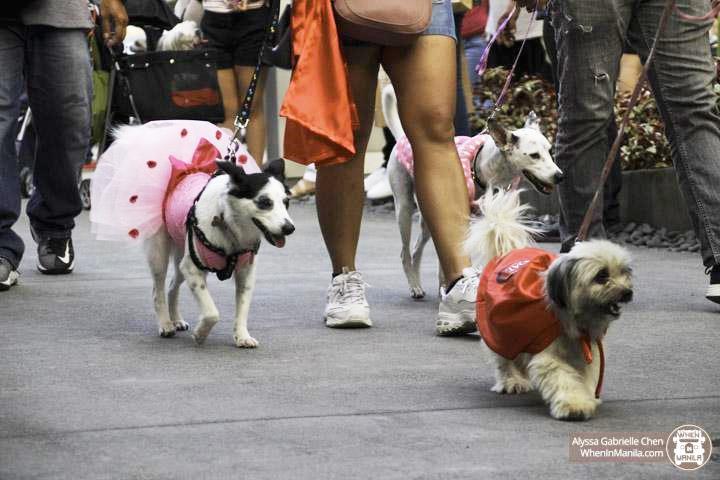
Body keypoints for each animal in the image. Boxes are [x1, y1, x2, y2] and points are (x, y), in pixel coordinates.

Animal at [382, 83, 564, 300]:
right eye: (534, 155)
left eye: (549, 150)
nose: (560, 176)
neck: (486, 170)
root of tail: (403, 137)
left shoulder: (499, 218)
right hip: (404, 208)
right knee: (405, 252)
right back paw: (415, 286)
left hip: (428, 215)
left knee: (417, 249)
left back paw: (422, 284)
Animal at [466, 189, 632, 422]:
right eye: (602, 276)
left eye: (625, 272)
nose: (627, 292)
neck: (572, 317)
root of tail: (507, 252)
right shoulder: (548, 356)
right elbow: (564, 379)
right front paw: (575, 405)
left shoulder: (584, 351)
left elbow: (584, 377)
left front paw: (588, 398)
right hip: (499, 331)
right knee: (503, 359)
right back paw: (511, 381)